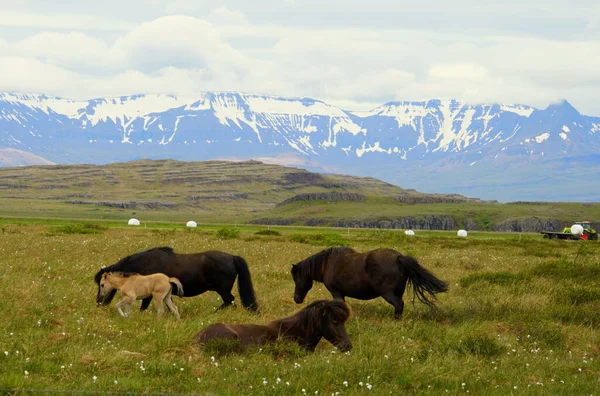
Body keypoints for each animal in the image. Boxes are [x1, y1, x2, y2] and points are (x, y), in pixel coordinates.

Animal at [94, 246, 258, 310]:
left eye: (101, 284)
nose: (99, 302)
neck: (145, 263)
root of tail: (232, 257)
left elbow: (144, 306)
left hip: (222, 290)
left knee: (229, 301)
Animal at [288, 248, 448, 318]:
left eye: (296, 279)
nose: (297, 299)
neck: (328, 263)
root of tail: (398, 258)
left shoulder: (336, 292)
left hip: (387, 293)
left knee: (398, 304)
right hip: (398, 291)